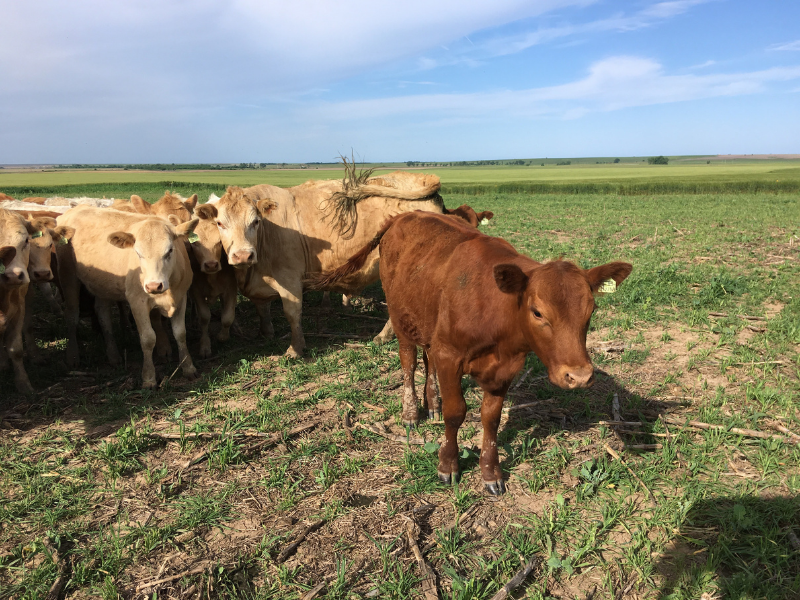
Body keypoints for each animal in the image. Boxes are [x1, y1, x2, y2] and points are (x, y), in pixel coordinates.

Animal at [55, 206, 198, 390]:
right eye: (138, 253)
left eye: (170, 250)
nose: (154, 286)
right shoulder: (137, 302)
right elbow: (147, 338)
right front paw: (149, 378)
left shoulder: (181, 297)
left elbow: (180, 334)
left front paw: (188, 368)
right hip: (68, 277)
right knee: (72, 315)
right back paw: (72, 356)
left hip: (101, 285)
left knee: (103, 315)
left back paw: (113, 355)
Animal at [312, 213, 632, 494]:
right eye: (538, 312)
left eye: (591, 310)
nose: (579, 376)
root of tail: (401, 215)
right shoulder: (450, 356)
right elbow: (456, 413)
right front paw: (448, 464)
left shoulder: (505, 368)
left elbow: (491, 418)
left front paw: (491, 472)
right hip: (401, 318)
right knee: (409, 362)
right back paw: (411, 411)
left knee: (428, 361)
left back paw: (432, 403)